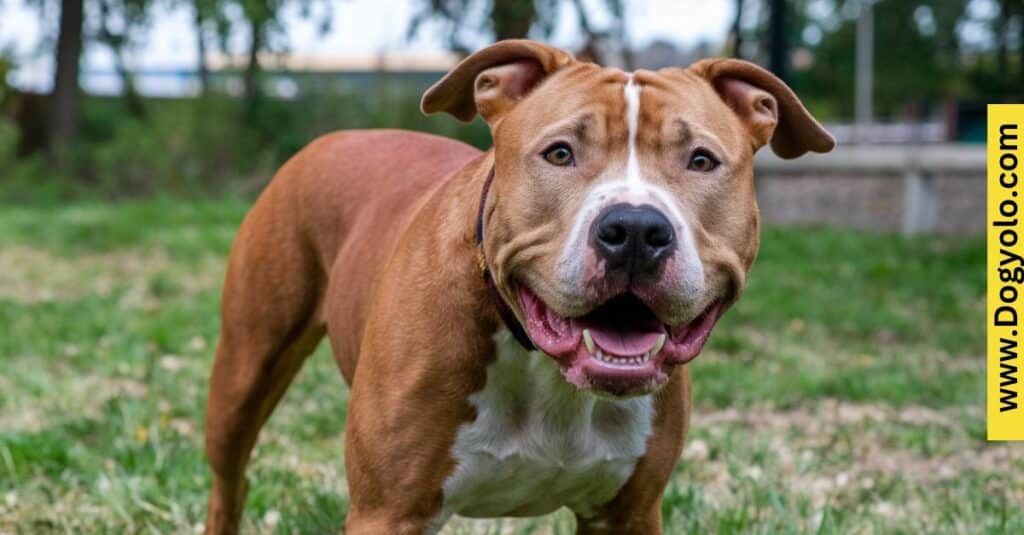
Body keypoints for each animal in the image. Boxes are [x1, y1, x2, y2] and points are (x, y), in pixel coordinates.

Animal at [203, 39, 835, 528]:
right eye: (559, 153)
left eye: (701, 160)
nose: (634, 230)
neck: (543, 364)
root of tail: (334, 137)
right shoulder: (388, 511)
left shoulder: (628, 514)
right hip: (245, 369)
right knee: (230, 480)